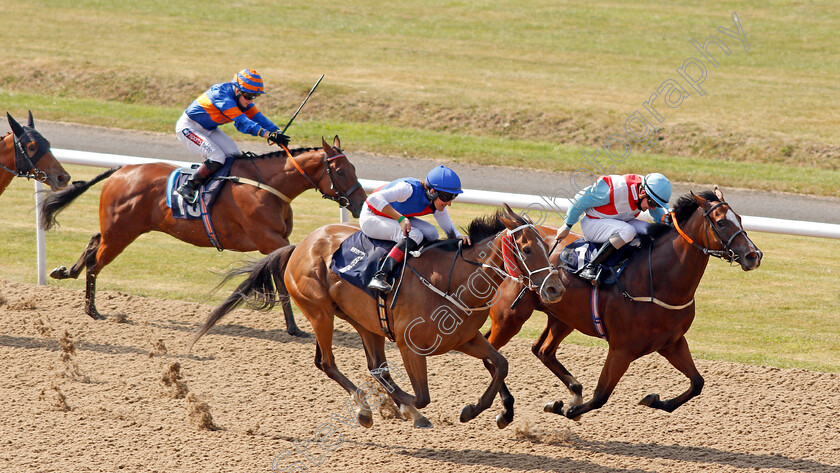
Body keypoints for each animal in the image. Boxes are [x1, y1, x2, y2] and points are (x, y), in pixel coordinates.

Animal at [40, 135, 364, 330]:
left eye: (354, 168)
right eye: (341, 171)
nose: (361, 203)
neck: (268, 186)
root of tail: (120, 170)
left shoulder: (276, 243)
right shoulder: (270, 241)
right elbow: (282, 280)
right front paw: (295, 328)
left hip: (117, 229)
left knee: (94, 242)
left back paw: (66, 271)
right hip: (122, 232)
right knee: (96, 263)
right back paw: (92, 310)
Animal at [190, 206, 564, 428]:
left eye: (549, 248)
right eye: (527, 249)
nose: (556, 288)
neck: (453, 281)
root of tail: (300, 245)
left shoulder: (465, 339)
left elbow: (500, 364)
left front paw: (481, 410)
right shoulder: (411, 347)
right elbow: (421, 395)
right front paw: (406, 407)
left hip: (364, 322)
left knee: (372, 365)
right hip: (320, 313)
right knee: (328, 362)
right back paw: (365, 408)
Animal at [482, 188, 764, 424]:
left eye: (740, 218)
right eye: (721, 222)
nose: (754, 255)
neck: (656, 280)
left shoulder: (672, 342)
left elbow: (697, 383)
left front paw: (654, 400)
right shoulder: (622, 349)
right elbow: (600, 397)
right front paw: (565, 408)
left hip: (562, 318)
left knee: (541, 350)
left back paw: (572, 390)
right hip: (510, 317)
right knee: (492, 354)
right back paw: (507, 411)